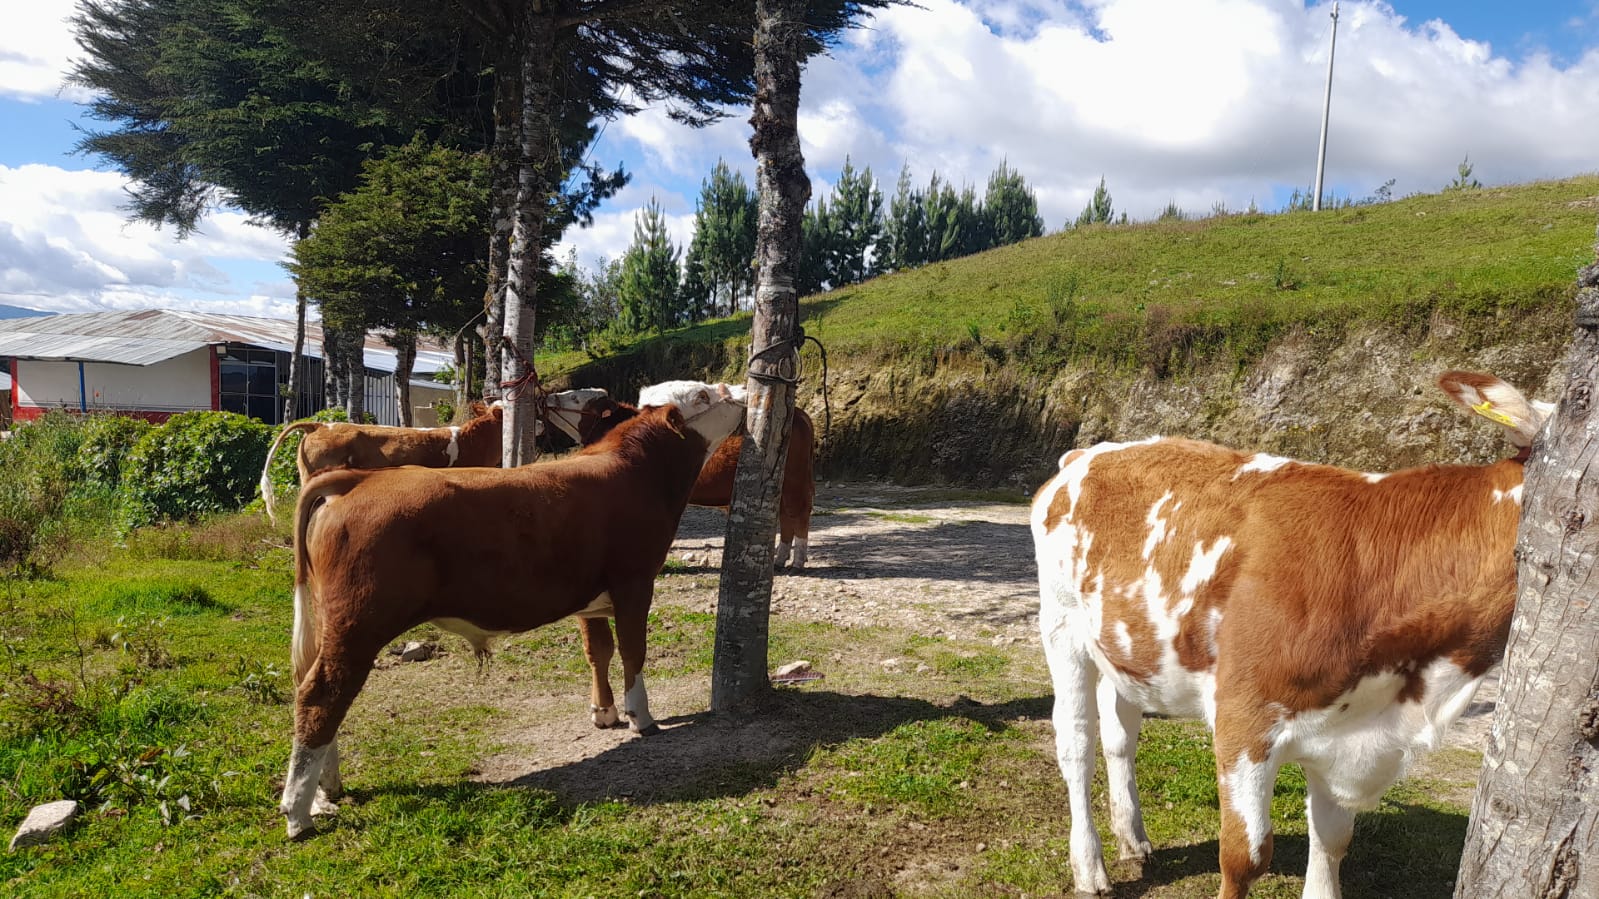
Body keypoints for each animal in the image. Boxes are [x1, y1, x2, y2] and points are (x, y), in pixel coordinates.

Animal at [276, 377, 748, 831]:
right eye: (702, 395)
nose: (741, 392)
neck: (636, 472)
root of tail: (359, 479)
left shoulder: (590, 597)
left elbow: (599, 650)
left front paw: (605, 712)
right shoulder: (634, 582)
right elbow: (634, 651)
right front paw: (641, 717)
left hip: (334, 624)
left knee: (315, 687)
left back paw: (326, 789)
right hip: (359, 624)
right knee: (321, 694)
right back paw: (298, 812)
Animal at [1036, 367, 1547, 889]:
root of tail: (1090, 453)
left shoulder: (1349, 736)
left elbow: (1333, 841)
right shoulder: (1243, 716)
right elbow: (1244, 856)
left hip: (1125, 645)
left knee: (1121, 733)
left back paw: (1133, 838)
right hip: (1061, 626)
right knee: (1076, 742)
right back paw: (1089, 866)